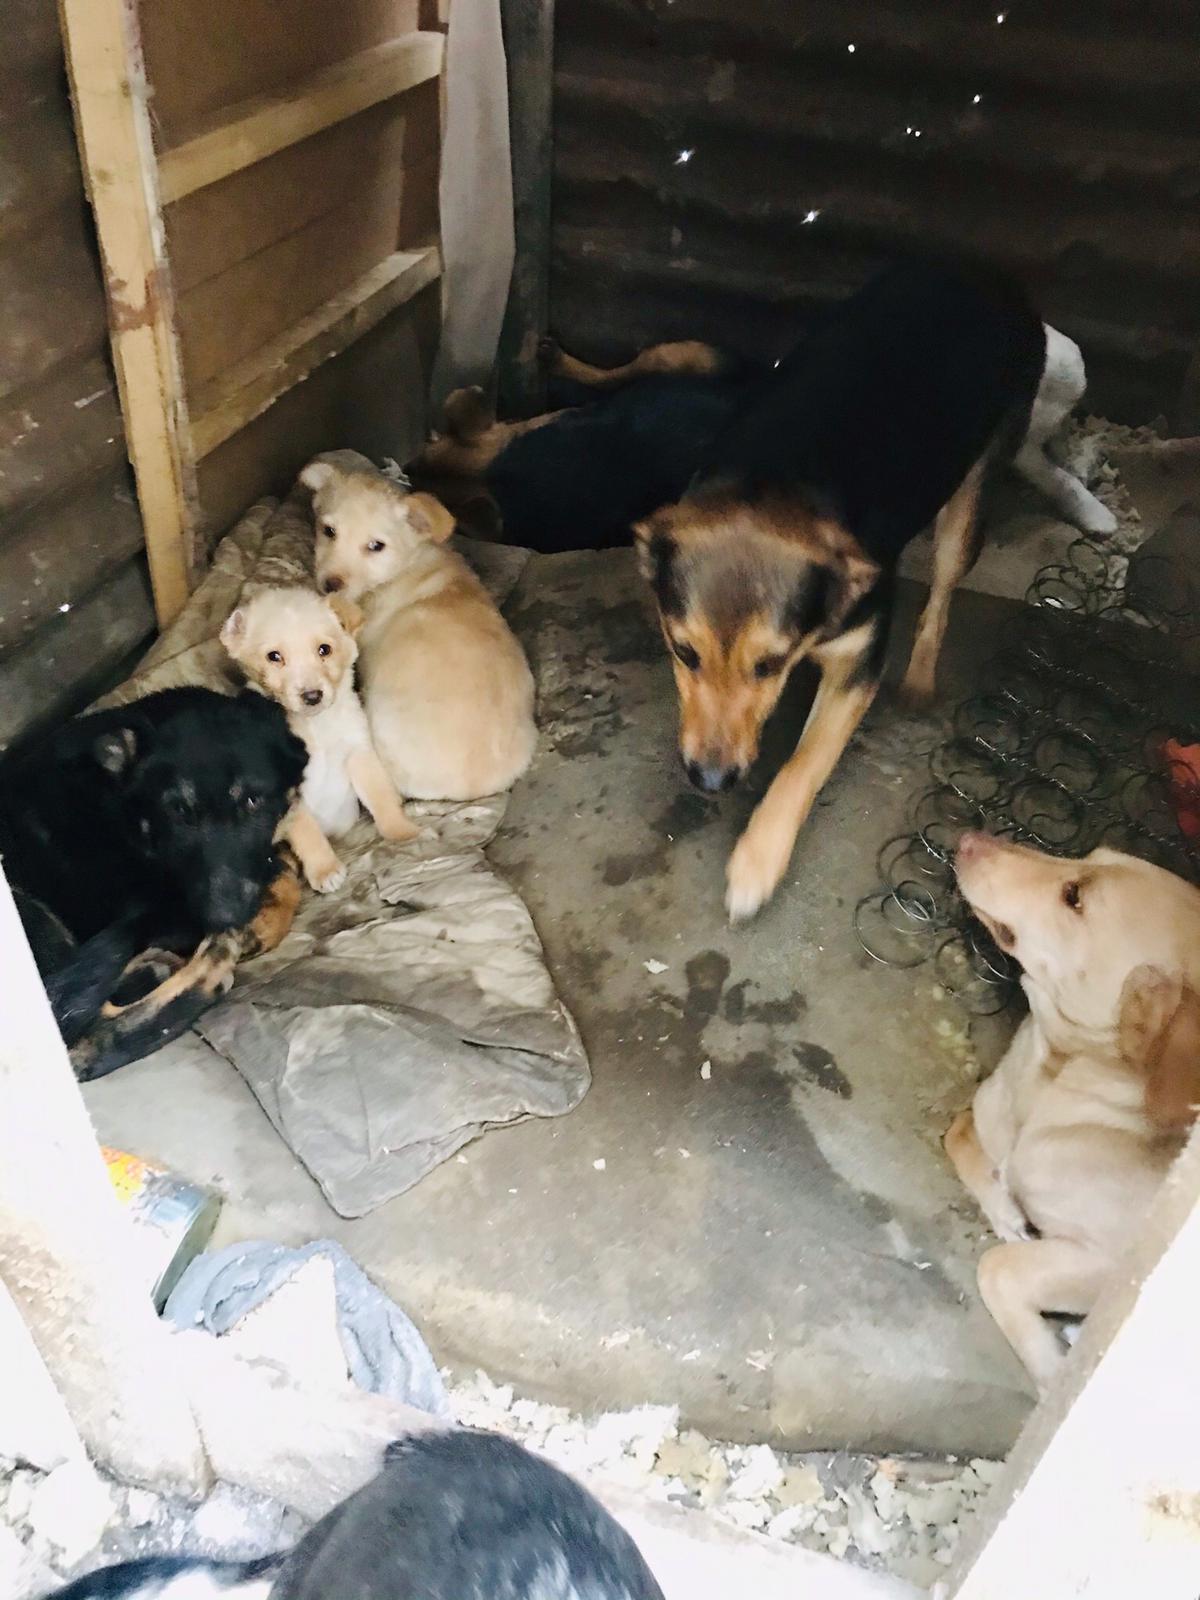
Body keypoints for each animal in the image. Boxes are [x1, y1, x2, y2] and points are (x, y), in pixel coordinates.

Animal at [0, 687, 306, 1079]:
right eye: (178, 811)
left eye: (253, 801)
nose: (222, 918)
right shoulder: (164, 912)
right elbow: (283, 878)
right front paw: (259, 924)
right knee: (93, 1039)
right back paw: (211, 962)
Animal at [221, 587, 418, 894]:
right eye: (274, 656)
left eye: (324, 649)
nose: (312, 696)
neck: (316, 727)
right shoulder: (288, 790)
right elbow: (307, 832)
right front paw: (325, 870)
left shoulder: (358, 751)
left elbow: (381, 796)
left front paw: (402, 832)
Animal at [631, 260, 1048, 920]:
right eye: (683, 652)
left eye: (768, 664)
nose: (711, 781)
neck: (774, 480)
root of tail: (984, 275)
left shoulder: (859, 662)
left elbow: (803, 766)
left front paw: (757, 861)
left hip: (978, 481)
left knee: (944, 586)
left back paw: (921, 676)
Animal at [946, 832, 1200, 1391]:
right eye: (1087, 859)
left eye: (1074, 897)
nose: (970, 837)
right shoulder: (984, 1111)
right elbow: (959, 1137)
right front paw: (1006, 1209)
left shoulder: (1112, 1265)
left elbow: (998, 1268)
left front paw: (1052, 1375)